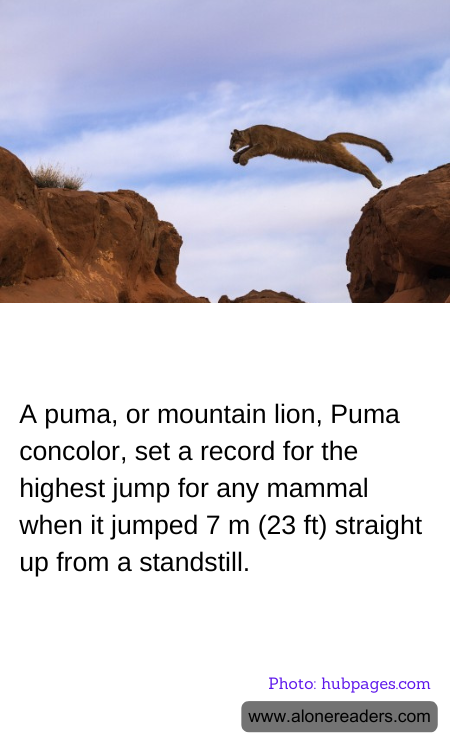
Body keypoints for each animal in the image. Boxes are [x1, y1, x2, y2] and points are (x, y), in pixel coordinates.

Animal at [229, 125, 393, 188]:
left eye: (233, 141)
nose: (230, 147)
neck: (251, 133)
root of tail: (327, 140)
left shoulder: (264, 145)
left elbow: (249, 151)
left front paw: (242, 159)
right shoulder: (256, 145)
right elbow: (245, 150)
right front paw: (236, 157)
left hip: (341, 159)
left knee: (362, 166)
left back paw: (377, 183)